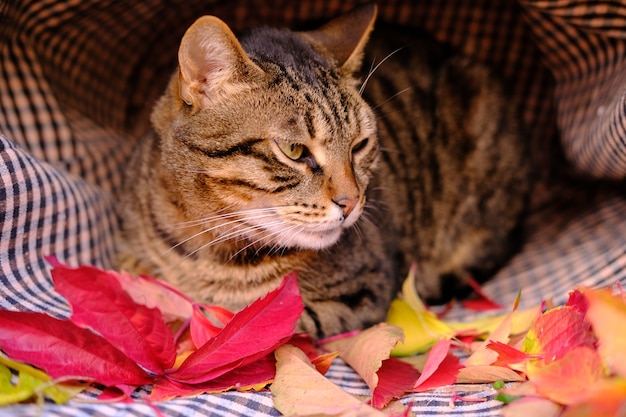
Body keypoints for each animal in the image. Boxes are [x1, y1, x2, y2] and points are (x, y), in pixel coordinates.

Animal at [116, 4, 528, 338]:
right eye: (295, 150)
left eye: (360, 145)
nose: (352, 202)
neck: (210, 250)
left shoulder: (365, 289)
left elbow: (260, 320)